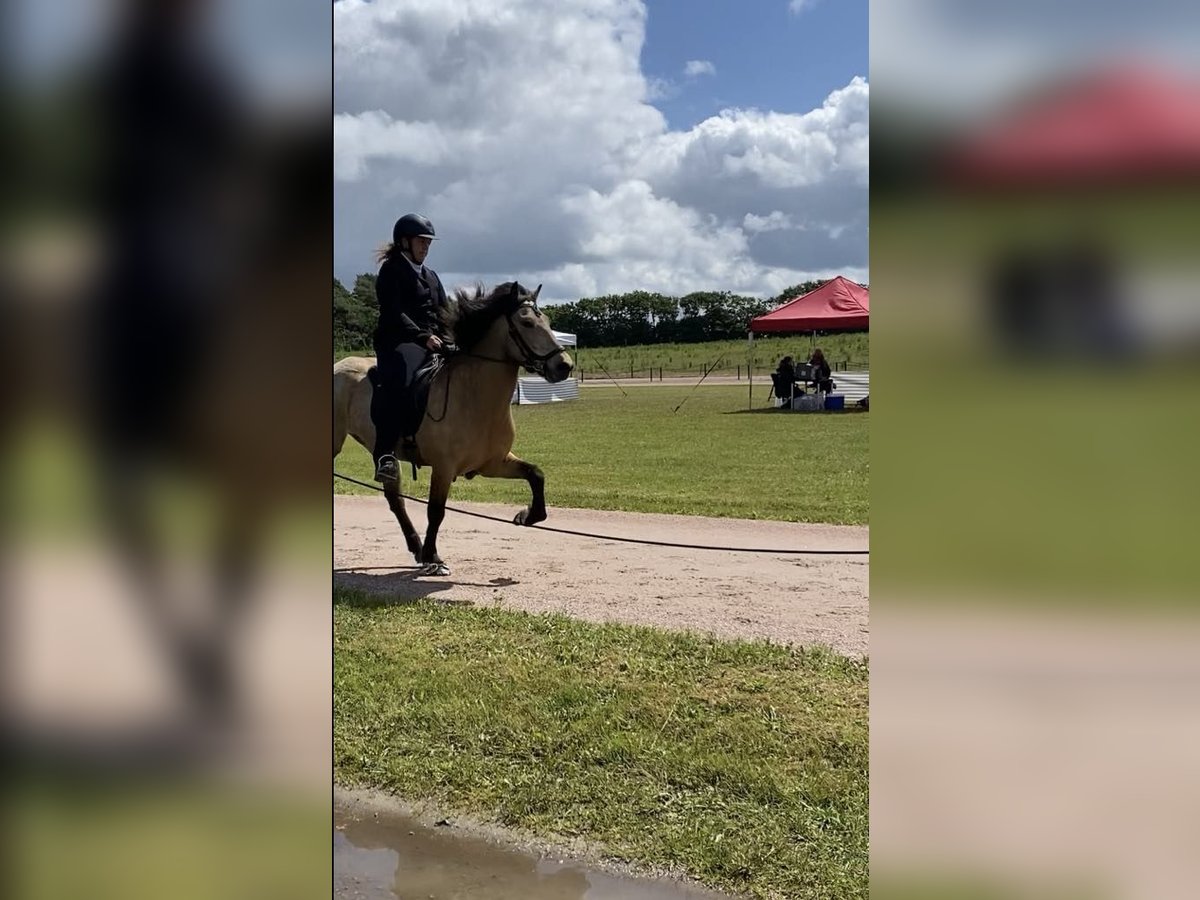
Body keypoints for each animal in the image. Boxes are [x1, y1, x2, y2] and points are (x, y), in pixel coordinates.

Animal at [336, 282, 573, 578]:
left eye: (548, 321)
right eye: (527, 322)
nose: (564, 365)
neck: (474, 395)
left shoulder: (494, 463)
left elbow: (536, 474)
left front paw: (526, 516)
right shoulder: (444, 467)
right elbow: (436, 511)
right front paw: (433, 558)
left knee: (395, 499)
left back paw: (415, 548)